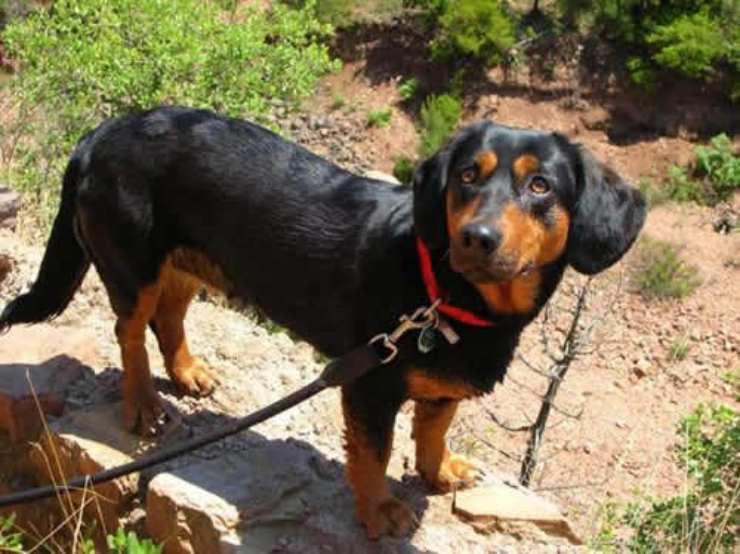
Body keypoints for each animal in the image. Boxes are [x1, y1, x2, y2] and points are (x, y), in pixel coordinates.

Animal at [0, 105, 648, 536]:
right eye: (467, 175)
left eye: (541, 186)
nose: (477, 237)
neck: (448, 289)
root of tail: (102, 131)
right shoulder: (371, 384)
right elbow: (374, 455)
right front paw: (380, 510)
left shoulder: (441, 384)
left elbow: (435, 429)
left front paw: (439, 472)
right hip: (132, 261)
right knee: (131, 332)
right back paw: (142, 404)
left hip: (187, 259)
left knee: (170, 316)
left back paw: (186, 372)